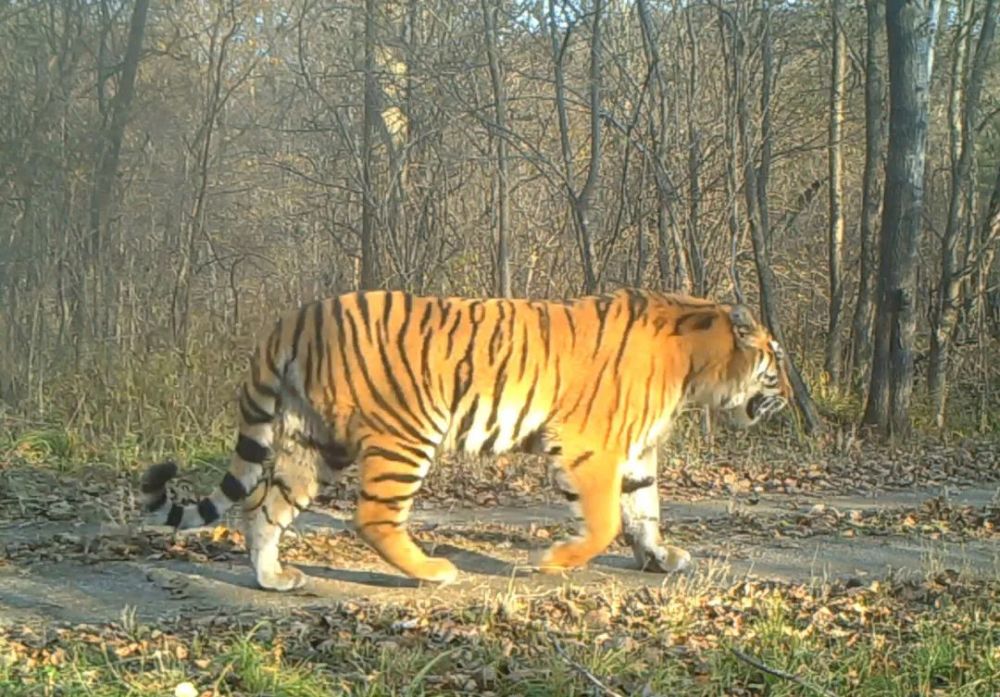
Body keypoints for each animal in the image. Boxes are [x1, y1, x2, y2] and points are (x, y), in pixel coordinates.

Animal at [141, 286, 792, 588]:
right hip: (406, 434)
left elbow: (645, 511)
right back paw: (432, 571)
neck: (695, 366)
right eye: (776, 363)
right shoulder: (590, 447)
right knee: (371, 518)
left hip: (314, 444)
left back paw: (274, 579)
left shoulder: (633, 452)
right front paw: (551, 561)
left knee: (263, 509)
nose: (790, 394)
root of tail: (294, 317)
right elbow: (606, 521)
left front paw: (661, 557)